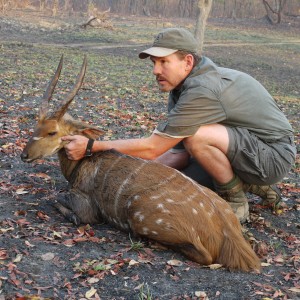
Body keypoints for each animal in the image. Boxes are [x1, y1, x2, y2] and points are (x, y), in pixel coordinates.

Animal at [20, 56, 260, 272]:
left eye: (52, 132)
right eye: (36, 125)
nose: (24, 155)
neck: (81, 166)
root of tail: (229, 235)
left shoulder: (86, 207)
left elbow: (59, 203)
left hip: (141, 217)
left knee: (205, 256)